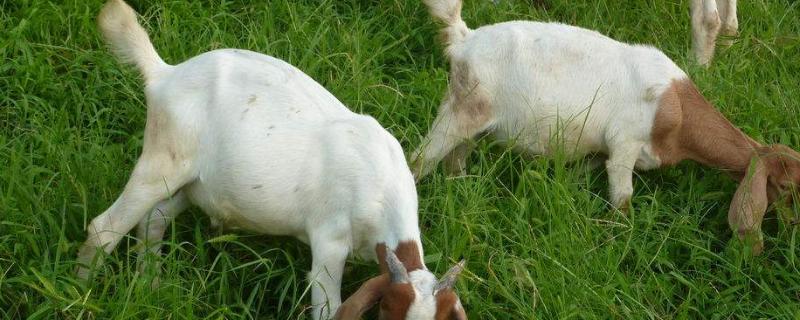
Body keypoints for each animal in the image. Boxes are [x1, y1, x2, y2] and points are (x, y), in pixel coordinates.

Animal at [77, 1, 466, 318]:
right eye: (388, 309)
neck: (381, 188)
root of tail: (164, 74)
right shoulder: (329, 243)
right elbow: (328, 305)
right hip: (163, 159)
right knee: (104, 228)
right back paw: (80, 293)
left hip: (193, 185)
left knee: (152, 221)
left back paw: (151, 285)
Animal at [412, 0, 800, 255]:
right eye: (784, 186)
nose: (793, 227)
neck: (676, 108)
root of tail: (465, 40)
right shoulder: (625, 145)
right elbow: (623, 201)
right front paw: (620, 244)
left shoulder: (599, 152)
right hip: (459, 112)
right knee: (420, 160)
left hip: (474, 125)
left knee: (455, 162)